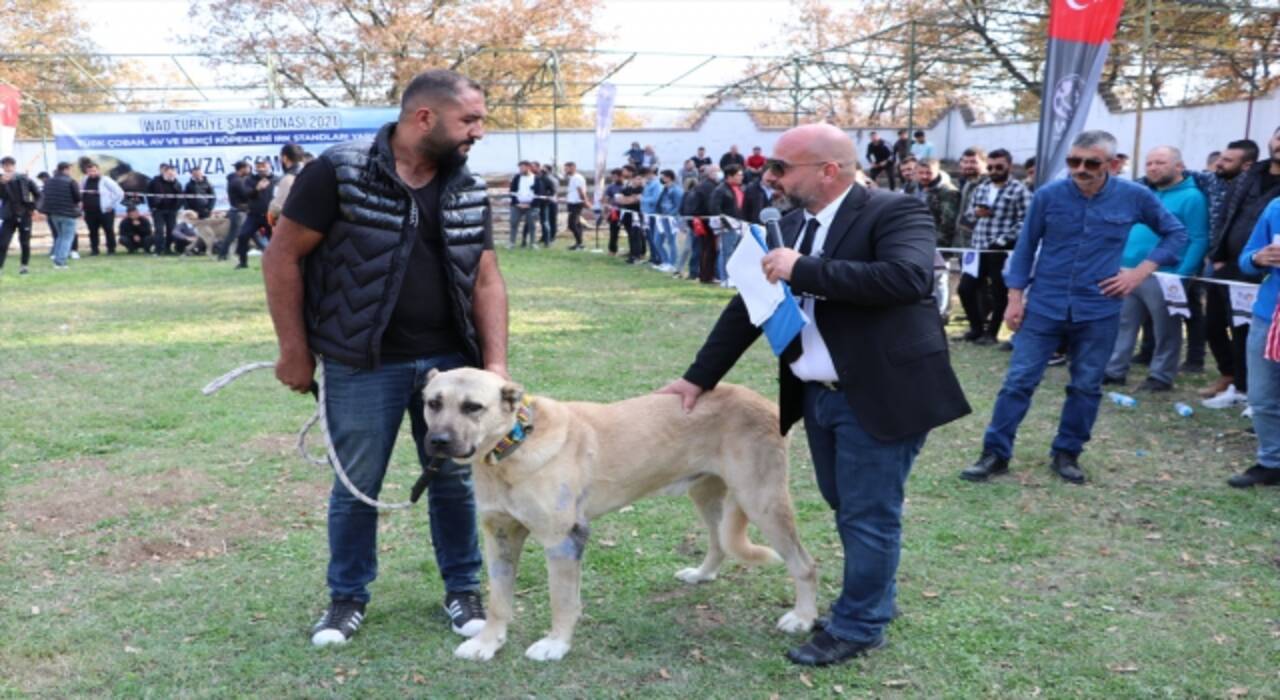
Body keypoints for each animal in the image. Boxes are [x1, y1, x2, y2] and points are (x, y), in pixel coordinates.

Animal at [422, 365, 819, 665]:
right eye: (432, 403)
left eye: (473, 407)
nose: (437, 442)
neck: (513, 446)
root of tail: (762, 400)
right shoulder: (499, 534)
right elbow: (498, 601)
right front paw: (487, 643)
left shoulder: (564, 540)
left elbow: (562, 601)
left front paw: (556, 644)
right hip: (706, 493)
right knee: (719, 542)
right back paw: (702, 575)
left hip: (761, 500)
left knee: (804, 563)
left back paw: (802, 618)